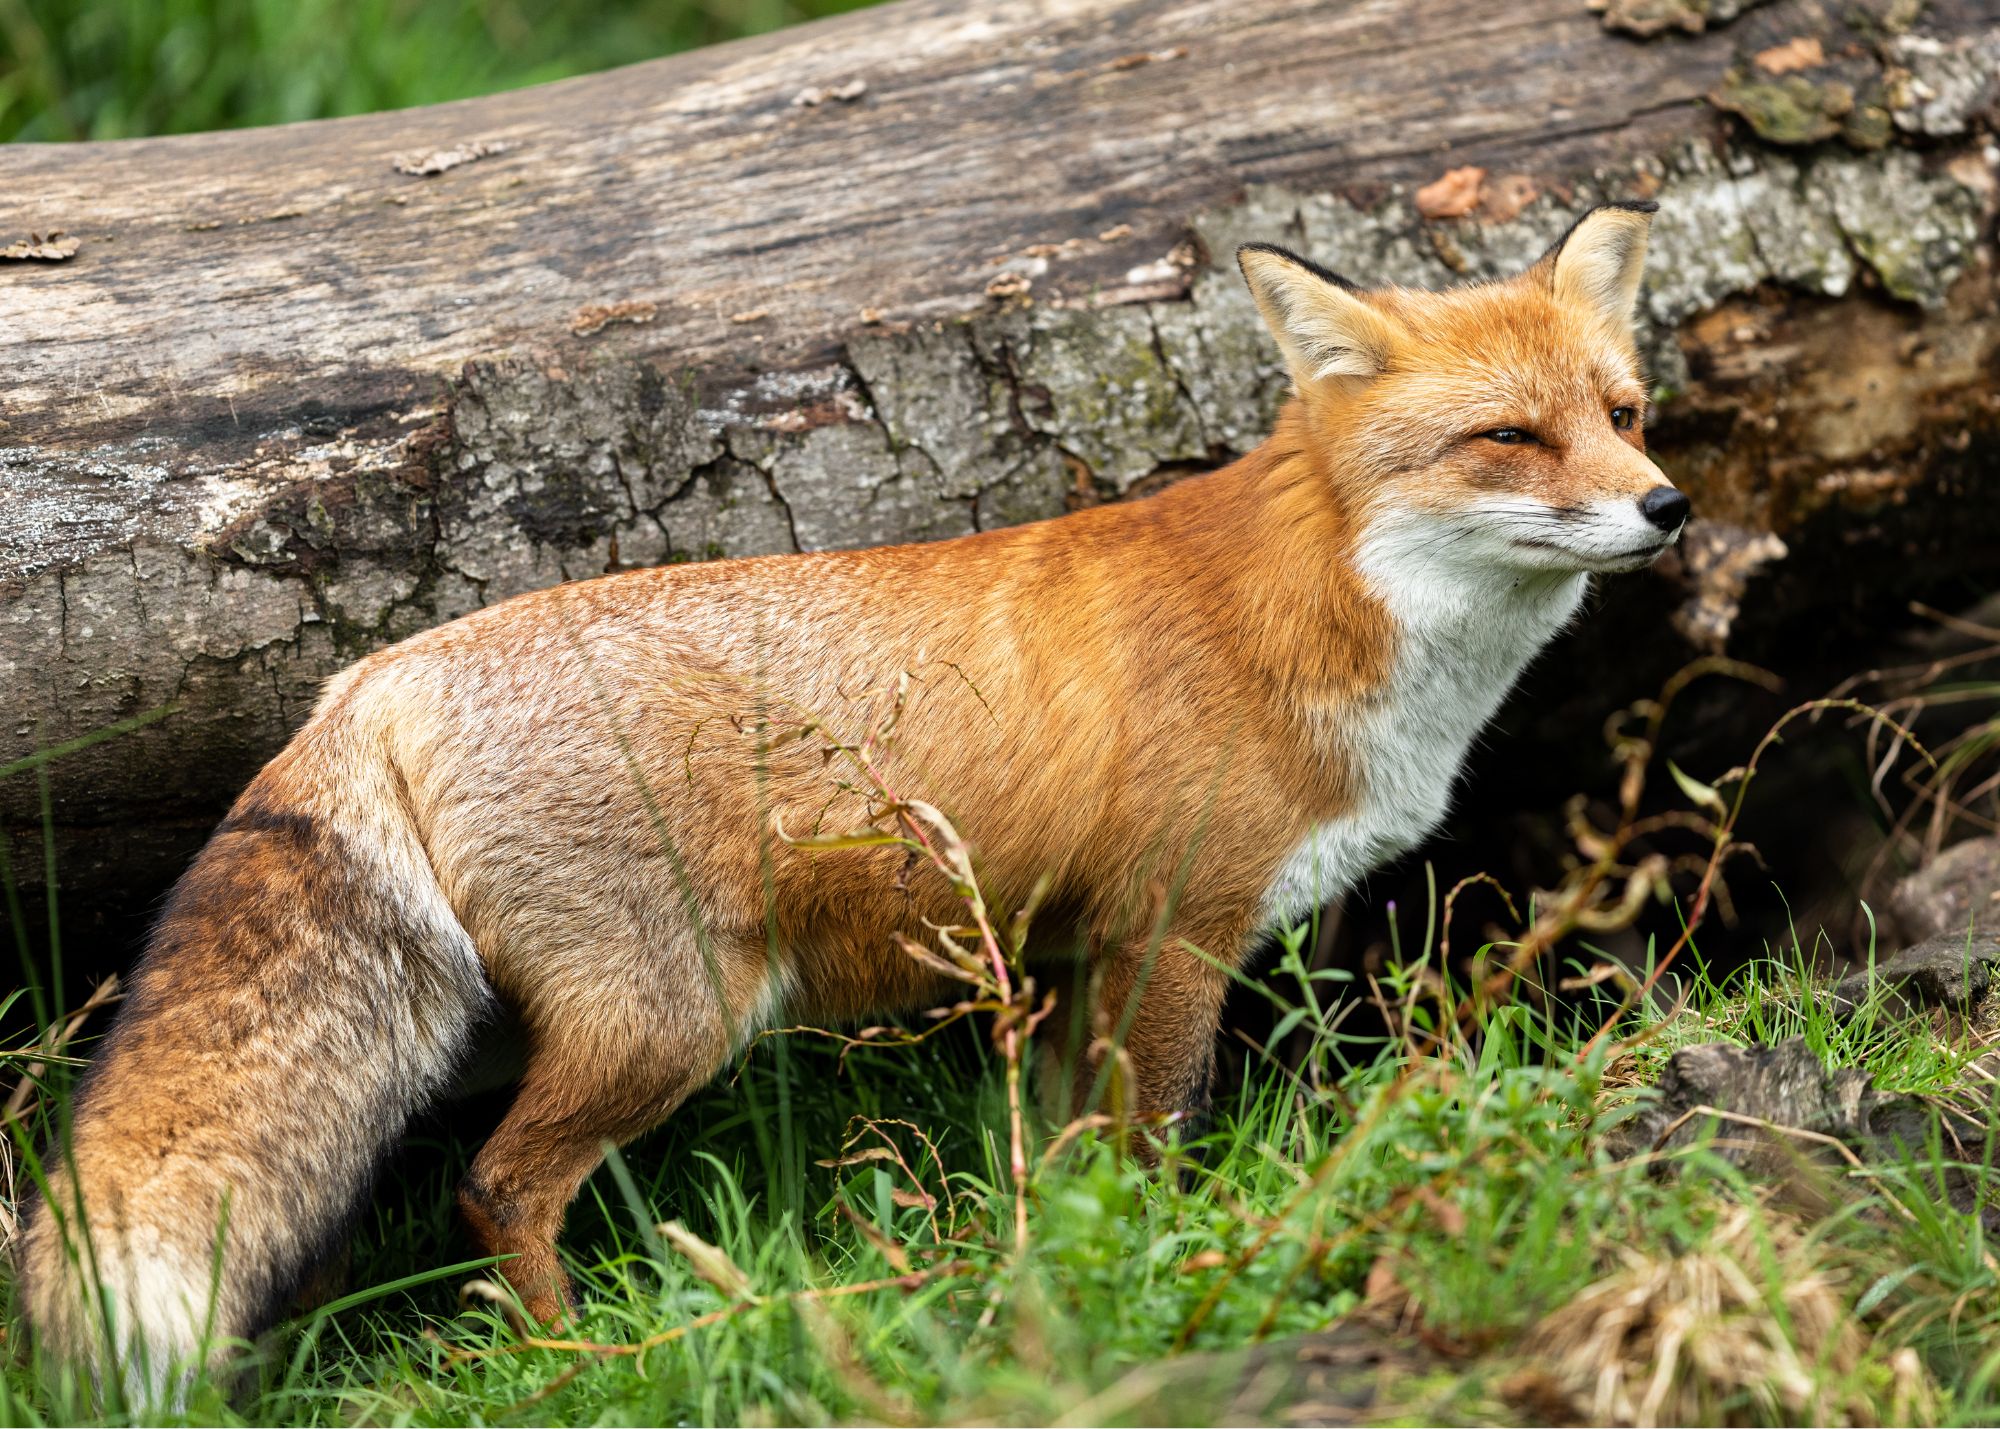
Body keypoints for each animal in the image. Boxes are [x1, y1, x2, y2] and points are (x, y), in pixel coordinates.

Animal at [18, 200, 1687, 1399]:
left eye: (1624, 412)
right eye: (1509, 437)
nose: (1669, 508)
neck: (1329, 618)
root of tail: (374, 678)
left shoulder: (1073, 951)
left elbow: (1071, 1159)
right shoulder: (1177, 926)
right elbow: (1158, 1140)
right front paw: (1169, 1256)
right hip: (672, 1018)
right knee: (494, 1191)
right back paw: (588, 1363)